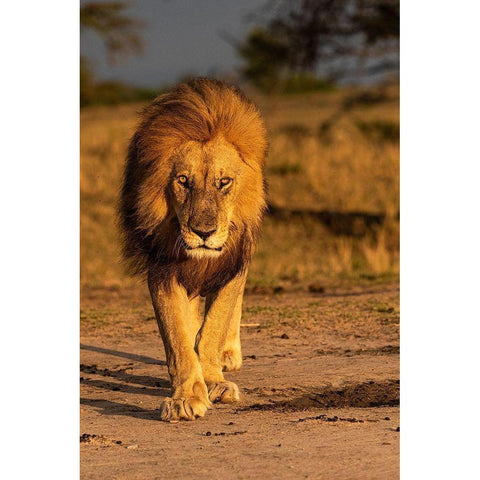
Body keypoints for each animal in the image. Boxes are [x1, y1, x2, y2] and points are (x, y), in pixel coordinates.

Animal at [118, 78, 268, 420]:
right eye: (184, 181)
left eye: (224, 182)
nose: (204, 232)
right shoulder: (162, 269)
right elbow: (178, 336)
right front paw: (187, 396)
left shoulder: (233, 263)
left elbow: (215, 325)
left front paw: (214, 380)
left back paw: (229, 353)